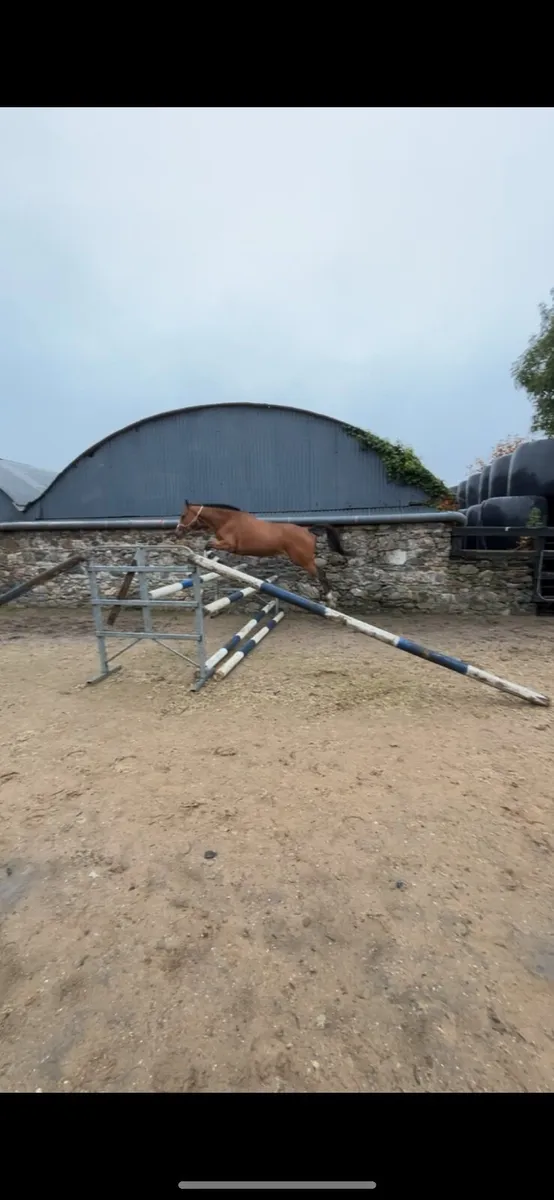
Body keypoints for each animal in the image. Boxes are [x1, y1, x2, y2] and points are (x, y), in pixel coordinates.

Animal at [175, 502, 348, 603]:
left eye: (183, 515)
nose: (177, 533)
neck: (227, 520)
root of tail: (307, 530)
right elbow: (209, 546)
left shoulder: (229, 545)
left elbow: (208, 545)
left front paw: (207, 563)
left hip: (303, 560)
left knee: (321, 575)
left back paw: (330, 600)